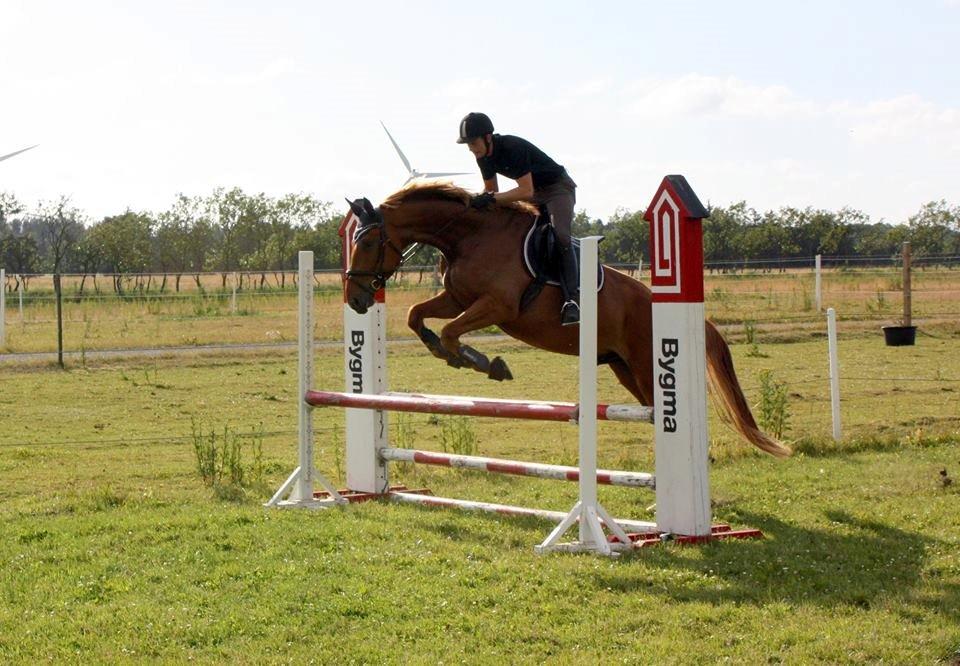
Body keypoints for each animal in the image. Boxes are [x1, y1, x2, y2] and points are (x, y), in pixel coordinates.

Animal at [342, 182, 792, 456]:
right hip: (625, 369)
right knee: (651, 411)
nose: (356, 299)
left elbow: (453, 331)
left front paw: (484, 362)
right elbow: (417, 316)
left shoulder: (498, 306)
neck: (469, 236)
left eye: (368, 242)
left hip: (646, 365)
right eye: (354, 240)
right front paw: (443, 349)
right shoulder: (456, 298)